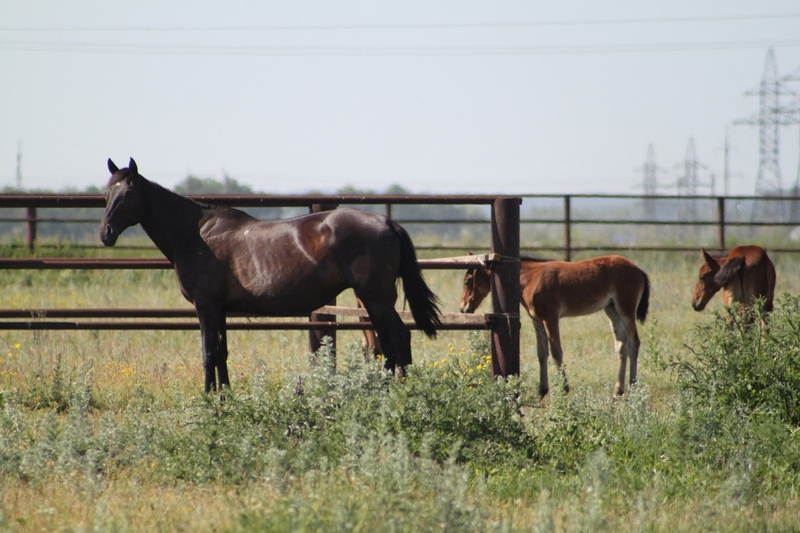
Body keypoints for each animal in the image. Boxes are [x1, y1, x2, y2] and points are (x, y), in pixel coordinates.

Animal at [462, 256, 648, 396]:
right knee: (621, 346)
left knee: (633, 343)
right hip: (611, 310)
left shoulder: (550, 318)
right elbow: (541, 353)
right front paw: (542, 390)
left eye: (468, 280)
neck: (531, 279)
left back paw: (633, 387)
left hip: (626, 310)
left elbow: (556, 351)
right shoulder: (537, 320)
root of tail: (638, 269)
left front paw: (564, 388)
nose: (463, 308)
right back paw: (618, 390)